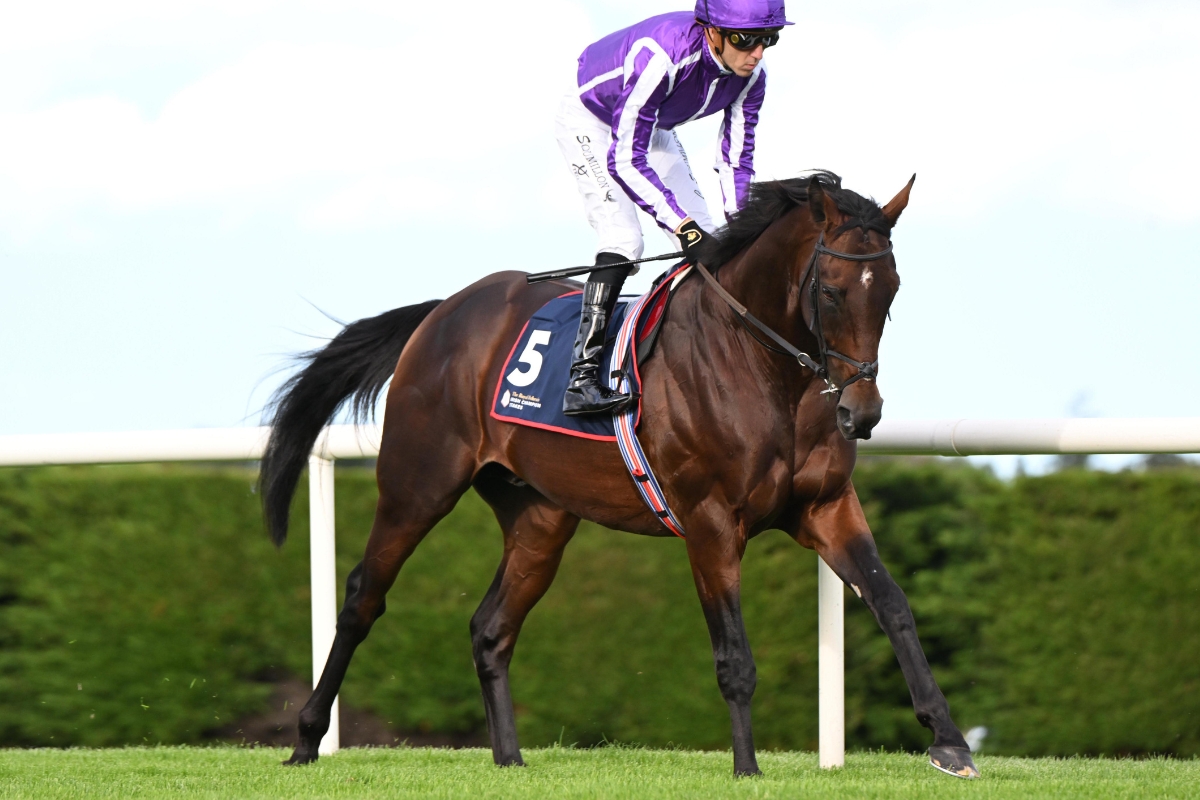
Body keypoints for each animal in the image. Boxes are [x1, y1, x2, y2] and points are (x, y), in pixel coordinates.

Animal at [259, 171, 979, 779]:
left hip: (541, 518)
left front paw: (948, 742)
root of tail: (443, 312)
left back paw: (509, 760)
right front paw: (747, 770)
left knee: (491, 628)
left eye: (891, 292)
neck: (761, 365)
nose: (863, 412)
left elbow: (892, 604)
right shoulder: (709, 520)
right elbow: (734, 654)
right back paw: (306, 739)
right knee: (363, 597)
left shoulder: (826, 506)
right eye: (831, 292)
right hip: (418, 483)